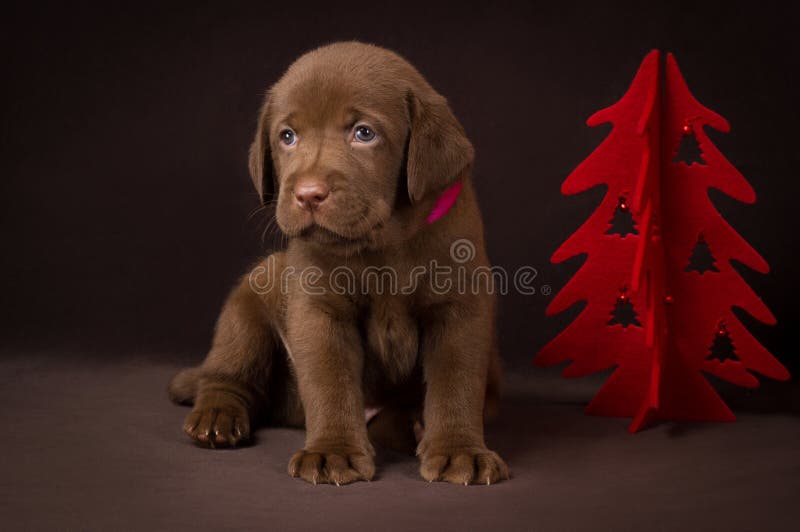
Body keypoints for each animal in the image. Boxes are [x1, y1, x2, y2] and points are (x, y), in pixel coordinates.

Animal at [169, 41, 510, 486]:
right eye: (287, 136)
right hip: (249, 301)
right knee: (229, 377)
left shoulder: (459, 308)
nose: (308, 194)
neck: (383, 245)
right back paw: (217, 416)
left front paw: (459, 450)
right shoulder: (319, 310)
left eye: (364, 133)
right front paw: (333, 451)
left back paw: (413, 427)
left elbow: (456, 383)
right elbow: (330, 382)